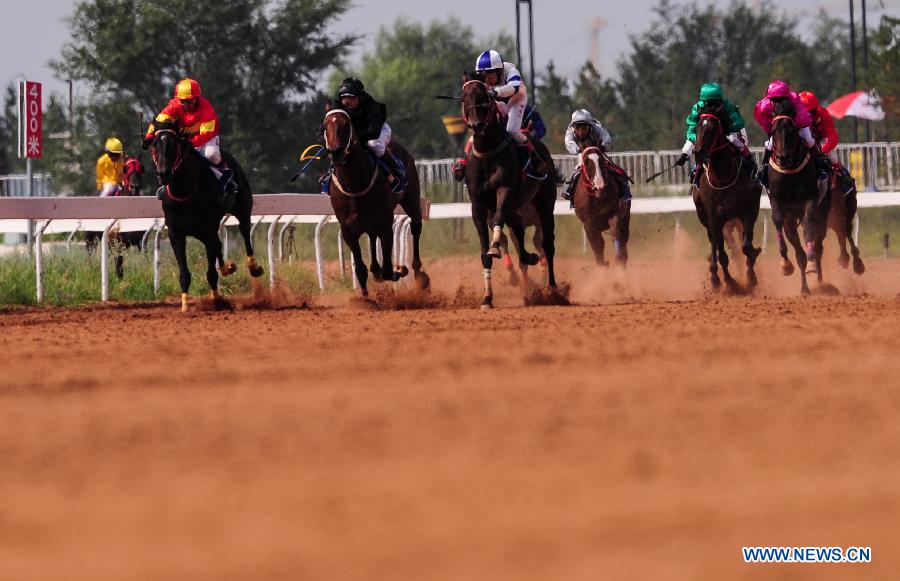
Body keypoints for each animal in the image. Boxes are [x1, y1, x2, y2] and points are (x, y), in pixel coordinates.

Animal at [149, 117, 262, 308]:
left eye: (173, 144)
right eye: (155, 143)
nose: (163, 173)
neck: (185, 192)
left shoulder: (208, 228)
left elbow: (211, 272)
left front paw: (216, 300)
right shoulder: (175, 232)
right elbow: (184, 273)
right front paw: (185, 304)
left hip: (242, 207)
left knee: (244, 231)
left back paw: (253, 267)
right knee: (218, 244)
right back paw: (226, 267)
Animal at [320, 109, 428, 296]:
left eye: (346, 124)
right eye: (326, 126)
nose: (336, 152)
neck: (355, 184)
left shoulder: (385, 222)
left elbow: (388, 269)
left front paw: (399, 270)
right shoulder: (347, 228)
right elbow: (360, 269)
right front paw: (365, 297)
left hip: (411, 200)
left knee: (415, 226)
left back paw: (418, 274)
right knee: (372, 238)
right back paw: (376, 270)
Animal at [460, 80, 560, 308]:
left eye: (484, 98)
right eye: (464, 98)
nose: (476, 125)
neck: (487, 154)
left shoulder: (504, 192)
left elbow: (500, 225)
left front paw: (496, 248)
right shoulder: (478, 205)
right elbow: (486, 252)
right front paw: (487, 298)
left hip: (544, 204)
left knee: (547, 245)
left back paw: (552, 288)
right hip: (516, 211)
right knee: (520, 239)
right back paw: (528, 261)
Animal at [692, 106, 764, 288]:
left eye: (712, 128)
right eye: (697, 127)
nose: (698, 152)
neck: (723, 177)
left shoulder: (747, 212)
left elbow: (746, 247)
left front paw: (751, 276)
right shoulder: (714, 219)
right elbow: (722, 253)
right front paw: (730, 282)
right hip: (705, 217)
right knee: (714, 244)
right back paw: (715, 277)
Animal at [760, 99, 828, 294]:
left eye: (792, 129)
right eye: (773, 130)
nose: (783, 158)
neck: (790, 170)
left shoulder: (810, 199)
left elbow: (809, 228)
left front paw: (811, 265)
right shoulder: (778, 202)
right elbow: (777, 221)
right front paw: (785, 264)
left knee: (817, 244)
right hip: (791, 220)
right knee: (799, 252)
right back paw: (804, 288)